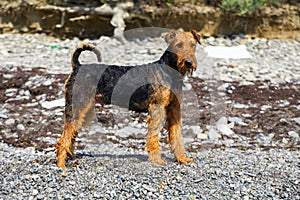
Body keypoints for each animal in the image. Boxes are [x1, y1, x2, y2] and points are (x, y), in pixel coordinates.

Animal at [56, 29, 202, 168]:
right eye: (178, 45)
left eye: (193, 45)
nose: (189, 63)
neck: (169, 71)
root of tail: (78, 66)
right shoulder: (157, 108)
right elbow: (154, 137)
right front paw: (156, 160)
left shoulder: (174, 109)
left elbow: (176, 136)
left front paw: (182, 158)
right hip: (78, 105)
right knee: (63, 139)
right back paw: (61, 166)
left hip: (84, 110)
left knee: (72, 134)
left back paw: (71, 157)